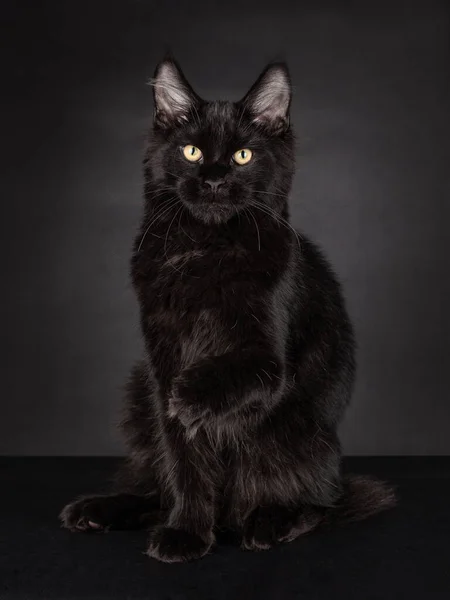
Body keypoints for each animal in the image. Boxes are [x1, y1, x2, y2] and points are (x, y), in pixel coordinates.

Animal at [59, 57, 394, 564]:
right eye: (192, 151)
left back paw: (271, 523)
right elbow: (185, 464)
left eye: (243, 157)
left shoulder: (268, 361)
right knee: (155, 492)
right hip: (139, 396)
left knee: (319, 502)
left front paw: (190, 396)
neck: (206, 248)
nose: (215, 180)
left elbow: (227, 376)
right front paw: (187, 533)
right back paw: (98, 510)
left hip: (296, 432)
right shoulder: (159, 360)